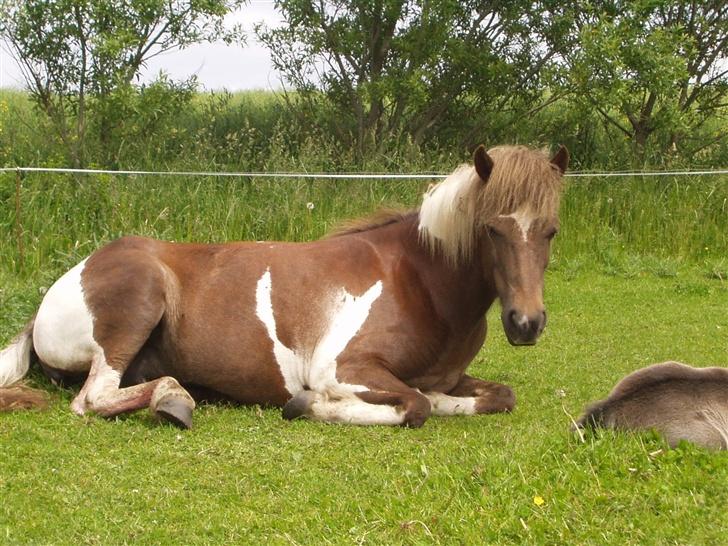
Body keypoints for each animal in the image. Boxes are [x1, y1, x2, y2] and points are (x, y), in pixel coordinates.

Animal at [0, 143, 568, 424]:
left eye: (551, 231)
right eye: (492, 229)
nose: (526, 323)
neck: (417, 281)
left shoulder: (450, 377)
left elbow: (493, 396)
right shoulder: (344, 368)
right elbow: (415, 405)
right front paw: (311, 405)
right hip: (138, 303)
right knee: (93, 400)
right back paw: (173, 400)